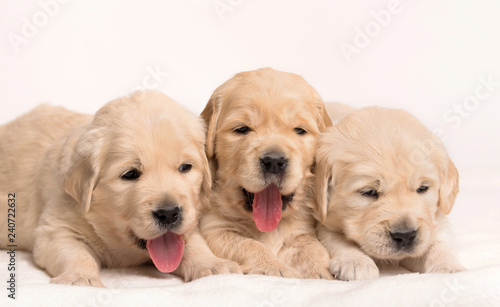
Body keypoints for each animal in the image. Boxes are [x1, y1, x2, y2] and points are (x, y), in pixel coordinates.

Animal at [0, 90, 240, 288]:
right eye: (130, 174)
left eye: (185, 167)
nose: (169, 213)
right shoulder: (56, 228)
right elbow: (76, 253)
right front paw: (80, 278)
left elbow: (193, 244)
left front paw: (212, 265)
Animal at [316, 107, 464, 282]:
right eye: (369, 192)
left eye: (422, 188)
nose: (405, 235)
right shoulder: (322, 221)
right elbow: (334, 238)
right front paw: (355, 261)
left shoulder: (436, 221)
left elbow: (438, 242)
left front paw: (449, 267)